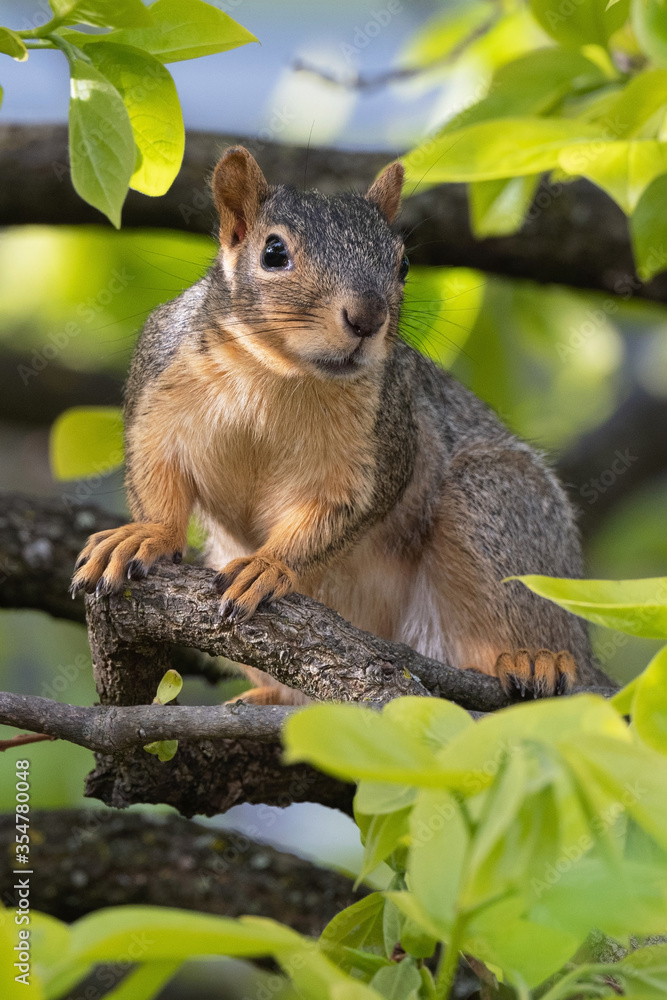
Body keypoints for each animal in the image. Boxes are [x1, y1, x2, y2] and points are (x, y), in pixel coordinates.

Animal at [71, 145, 605, 703]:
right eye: (273, 253)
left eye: (403, 264)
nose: (367, 318)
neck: (276, 376)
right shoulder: (158, 391)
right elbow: (157, 477)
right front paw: (144, 535)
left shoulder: (380, 441)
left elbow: (340, 511)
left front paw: (270, 565)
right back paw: (266, 695)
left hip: (497, 502)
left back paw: (535, 657)